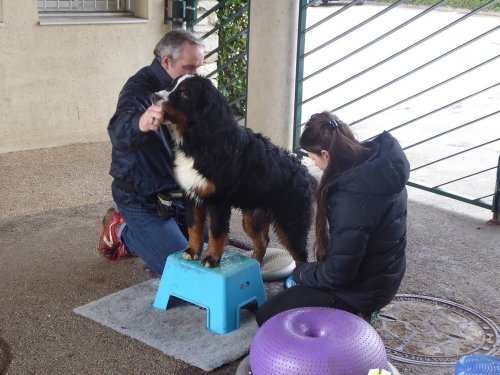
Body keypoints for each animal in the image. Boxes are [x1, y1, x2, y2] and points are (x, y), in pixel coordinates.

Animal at [153, 75, 316, 268]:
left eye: (184, 93)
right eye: (171, 85)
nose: (154, 96)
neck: (200, 142)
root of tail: (306, 173)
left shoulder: (218, 201)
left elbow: (216, 232)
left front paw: (211, 259)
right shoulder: (192, 194)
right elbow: (194, 226)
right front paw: (192, 251)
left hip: (290, 223)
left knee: (301, 257)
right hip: (253, 217)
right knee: (262, 242)